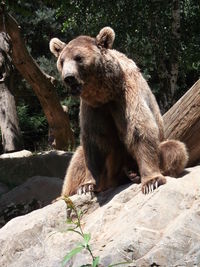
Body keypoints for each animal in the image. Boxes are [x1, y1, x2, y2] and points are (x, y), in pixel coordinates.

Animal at [49, 27, 188, 196]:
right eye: (62, 61)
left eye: (78, 58)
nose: (69, 77)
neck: (105, 92)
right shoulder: (94, 108)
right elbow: (94, 141)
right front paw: (86, 185)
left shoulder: (126, 94)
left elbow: (140, 129)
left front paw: (151, 181)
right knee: (77, 160)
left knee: (175, 149)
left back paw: (134, 173)